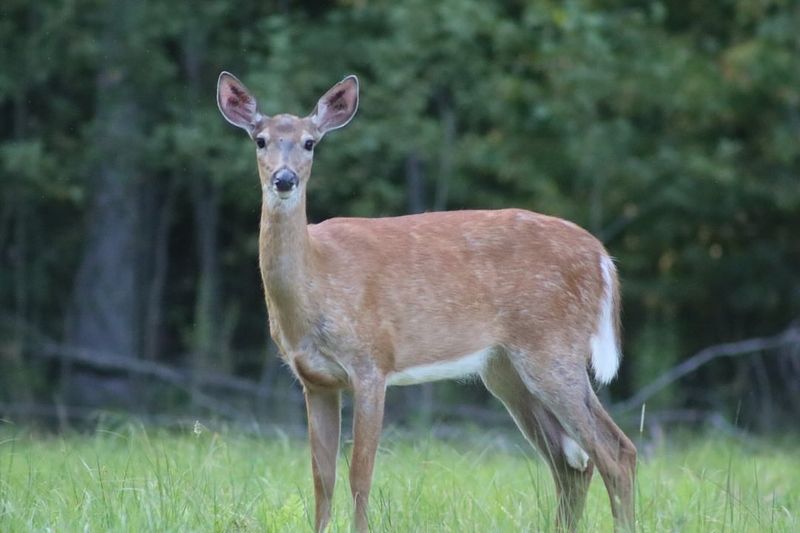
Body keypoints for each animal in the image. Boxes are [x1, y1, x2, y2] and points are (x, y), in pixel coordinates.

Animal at [216, 71, 637, 532]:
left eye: (310, 142)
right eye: (260, 140)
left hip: (552, 347)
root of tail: (603, 257)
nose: (285, 179)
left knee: (615, 451)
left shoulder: (371, 361)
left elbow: (360, 473)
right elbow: (321, 478)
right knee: (571, 463)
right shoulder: (315, 380)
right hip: (505, 368)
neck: (317, 281)